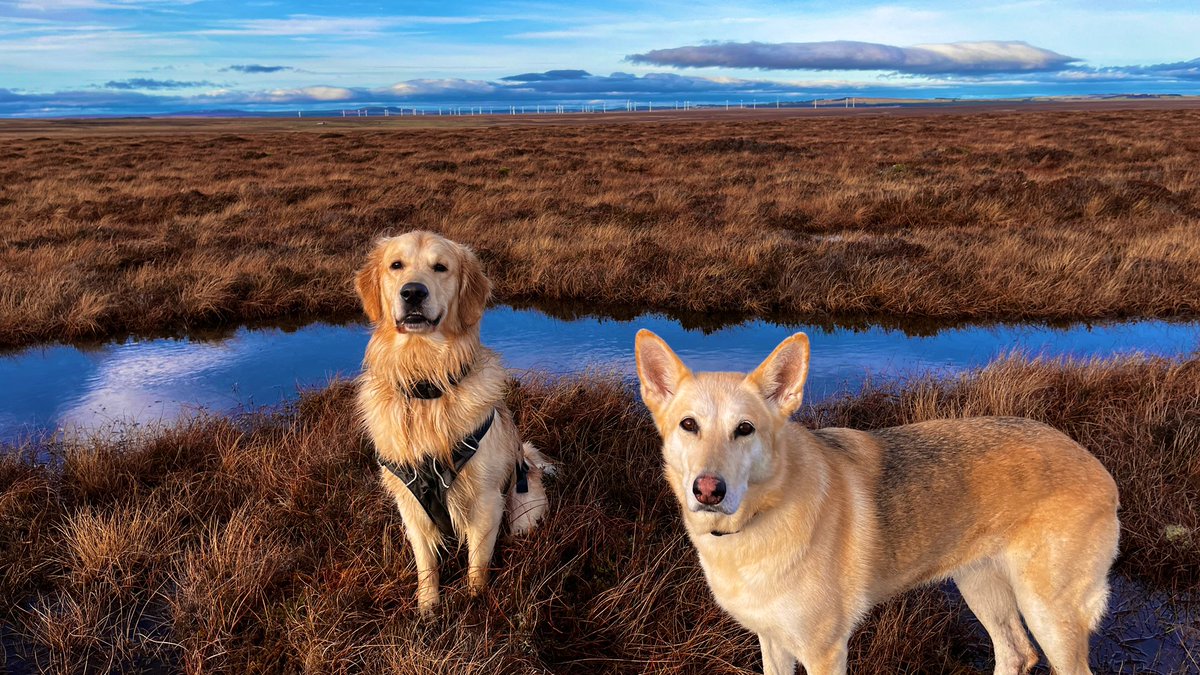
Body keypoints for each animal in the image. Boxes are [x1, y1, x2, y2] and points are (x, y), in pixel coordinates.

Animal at [350, 229, 549, 610]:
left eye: (440, 268)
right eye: (396, 265)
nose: (413, 292)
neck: (427, 386)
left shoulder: (486, 500)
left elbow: (478, 562)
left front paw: (475, 603)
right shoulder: (410, 505)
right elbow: (426, 563)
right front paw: (428, 607)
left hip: (524, 509)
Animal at [633, 329, 1118, 672]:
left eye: (745, 429)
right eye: (689, 425)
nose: (708, 490)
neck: (759, 517)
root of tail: (1100, 470)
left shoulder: (825, 652)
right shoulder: (772, 642)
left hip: (1049, 616)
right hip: (979, 585)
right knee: (1016, 654)